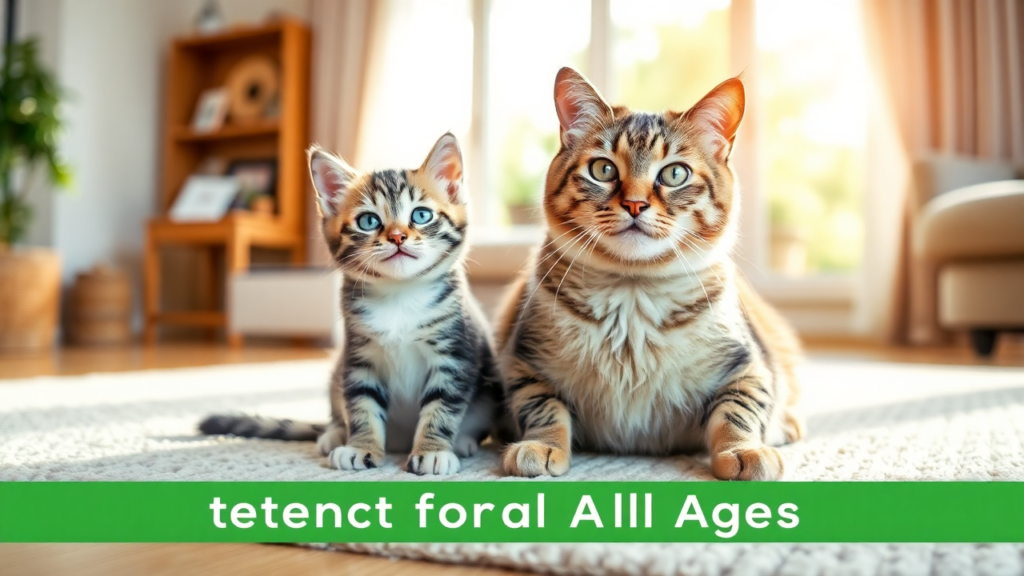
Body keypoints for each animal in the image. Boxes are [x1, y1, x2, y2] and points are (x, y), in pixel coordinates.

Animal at [199, 132, 503, 473]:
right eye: (368, 221)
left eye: (421, 215)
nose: (397, 237)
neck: (400, 294)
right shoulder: (359, 356)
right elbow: (361, 404)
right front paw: (361, 447)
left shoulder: (455, 353)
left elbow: (443, 405)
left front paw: (433, 450)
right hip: (337, 371)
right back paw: (333, 435)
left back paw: (463, 441)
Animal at [491, 67, 802, 479]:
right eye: (603, 169)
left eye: (674, 174)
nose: (635, 204)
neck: (633, 294)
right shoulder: (523, 359)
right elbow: (542, 406)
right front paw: (541, 446)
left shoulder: (749, 365)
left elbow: (739, 410)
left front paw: (744, 450)